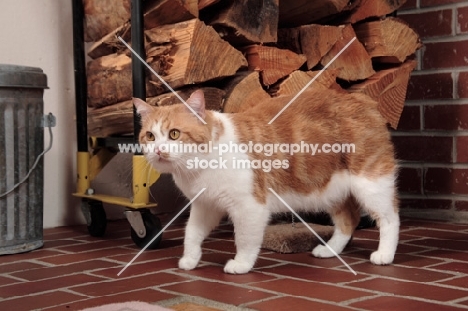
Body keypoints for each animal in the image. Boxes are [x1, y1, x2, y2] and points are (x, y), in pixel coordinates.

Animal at [134, 89, 398, 274]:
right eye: (150, 136)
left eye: (174, 134)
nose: (158, 151)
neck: (198, 167)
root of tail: (361, 99)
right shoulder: (205, 205)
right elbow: (191, 233)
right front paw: (190, 259)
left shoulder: (249, 207)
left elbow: (244, 238)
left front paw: (241, 264)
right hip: (332, 190)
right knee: (348, 220)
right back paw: (330, 250)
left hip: (371, 183)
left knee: (390, 218)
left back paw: (385, 255)